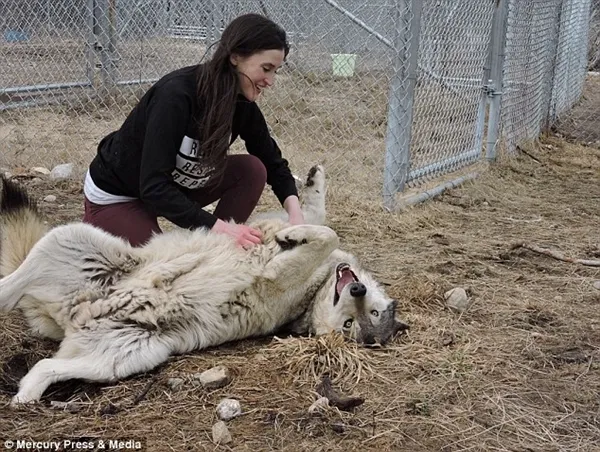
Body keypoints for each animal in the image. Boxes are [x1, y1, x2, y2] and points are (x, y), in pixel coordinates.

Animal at [0, 164, 408, 404]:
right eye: (363, 314)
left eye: (353, 324)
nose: (356, 289)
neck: (319, 282)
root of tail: (75, 316)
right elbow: (318, 217)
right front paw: (311, 185)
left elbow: (326, 232)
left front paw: (297, 237)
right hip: (69, 239)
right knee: (12, 286)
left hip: (122, 361)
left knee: (43, 367)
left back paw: (24, 397)